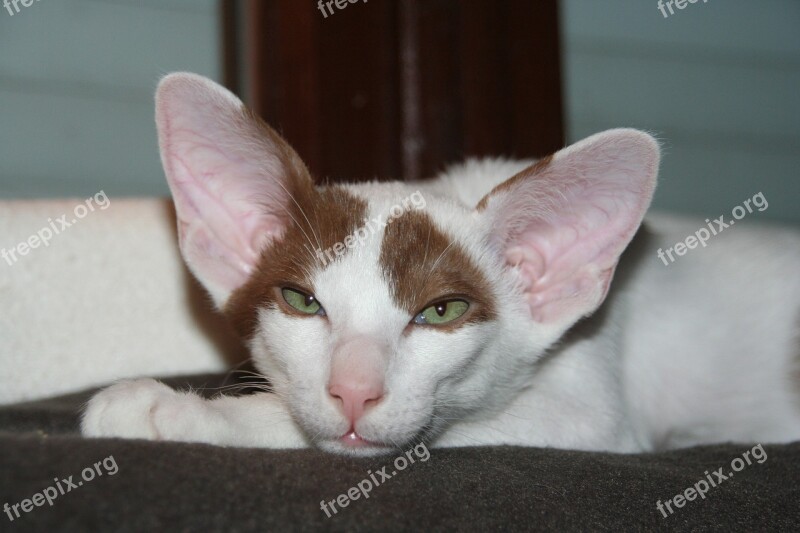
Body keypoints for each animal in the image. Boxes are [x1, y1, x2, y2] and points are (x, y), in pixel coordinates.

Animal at [81, 71, 800, 458]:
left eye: (442, 310)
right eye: (302, 301)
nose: (354, 391)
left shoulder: (594, 417)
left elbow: (436, 431)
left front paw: (179, 411)